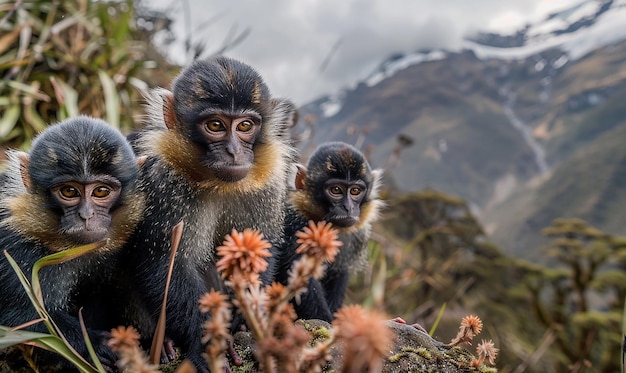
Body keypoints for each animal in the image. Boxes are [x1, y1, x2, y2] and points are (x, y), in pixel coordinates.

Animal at [0, 116, 145, 370]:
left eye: (100, 191)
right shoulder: (16, 248)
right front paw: (98, 347)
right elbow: (27, 318)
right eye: (69, 191)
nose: (86, 215)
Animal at [116, 54, 298, 370]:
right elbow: (164, 261)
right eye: (215, 125)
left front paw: (244, 320)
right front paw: (205, 346)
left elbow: (260, 247)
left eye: (245, 126)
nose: (234, 152)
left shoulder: (268, 181)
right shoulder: (161, 178)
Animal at [276, 141, 382, 322]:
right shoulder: (298, 227)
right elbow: (295, 272)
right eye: (336, 190)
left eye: (355, 191)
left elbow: (340, 272)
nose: (348, 207)